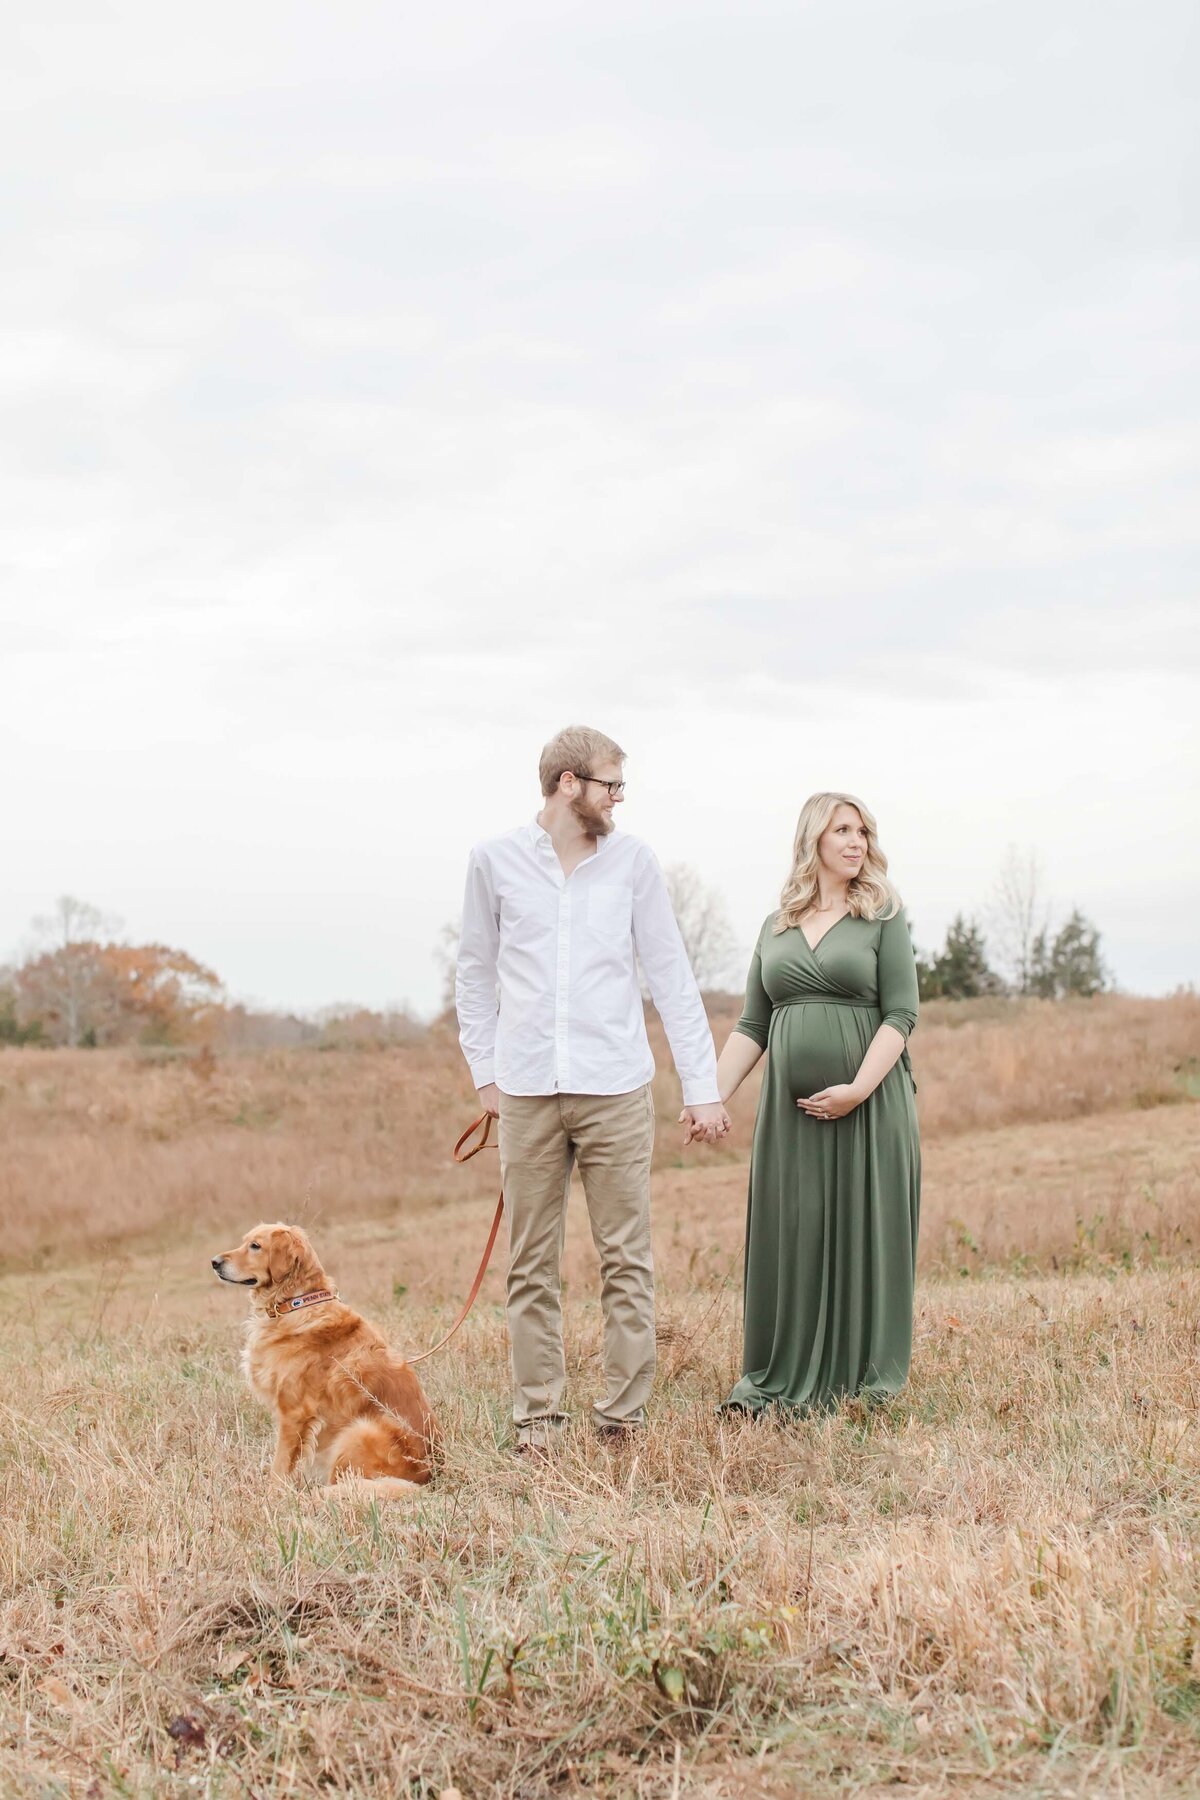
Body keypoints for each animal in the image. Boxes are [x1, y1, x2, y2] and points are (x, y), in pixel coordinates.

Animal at [212, 1216, 437, 1497]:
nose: (214, 1262)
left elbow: (279, 1466)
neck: (294, 1302)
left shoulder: (294, 1414)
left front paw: (272, 1497)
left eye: (255, 1246)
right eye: (244, 1242)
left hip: (356, 1432)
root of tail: (428, 1478)